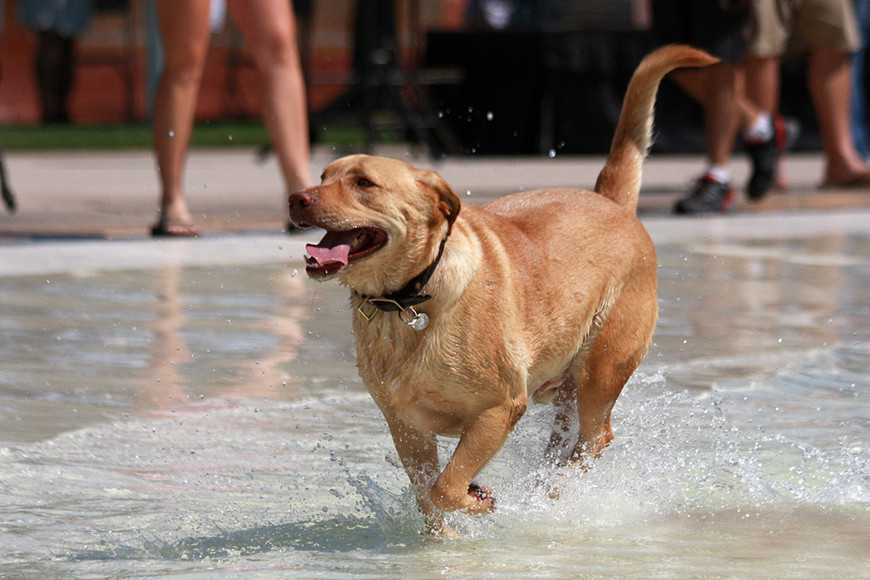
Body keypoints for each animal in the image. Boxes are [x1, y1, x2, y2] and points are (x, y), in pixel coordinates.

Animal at [292, 45, 716, 532]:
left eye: (364, 182)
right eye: (323, 176)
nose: (297, 197)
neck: (410, 298)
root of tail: (611, 203)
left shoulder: (499, 409)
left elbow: (445, 487)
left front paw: (479, 500)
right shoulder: (407, 427)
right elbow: (428, 494)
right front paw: (443, 532)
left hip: (603, 368)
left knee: (594, 439)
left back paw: (555, 496)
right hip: (564, 388)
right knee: (562, 444)